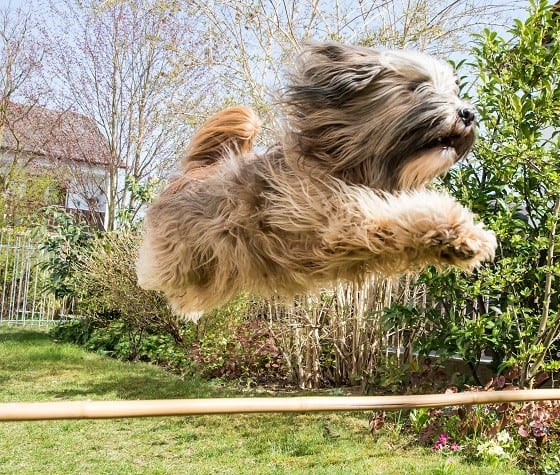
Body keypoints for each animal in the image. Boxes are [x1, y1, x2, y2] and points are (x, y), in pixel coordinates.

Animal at [136, 42, 494, 322]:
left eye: (452, 91)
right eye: (416, 87)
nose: (468, 114)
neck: (345, 163)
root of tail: (193, 173)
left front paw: (458, 240)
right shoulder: (337, 215)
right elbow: (397, 213)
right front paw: (461, 232)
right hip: (180, 257)